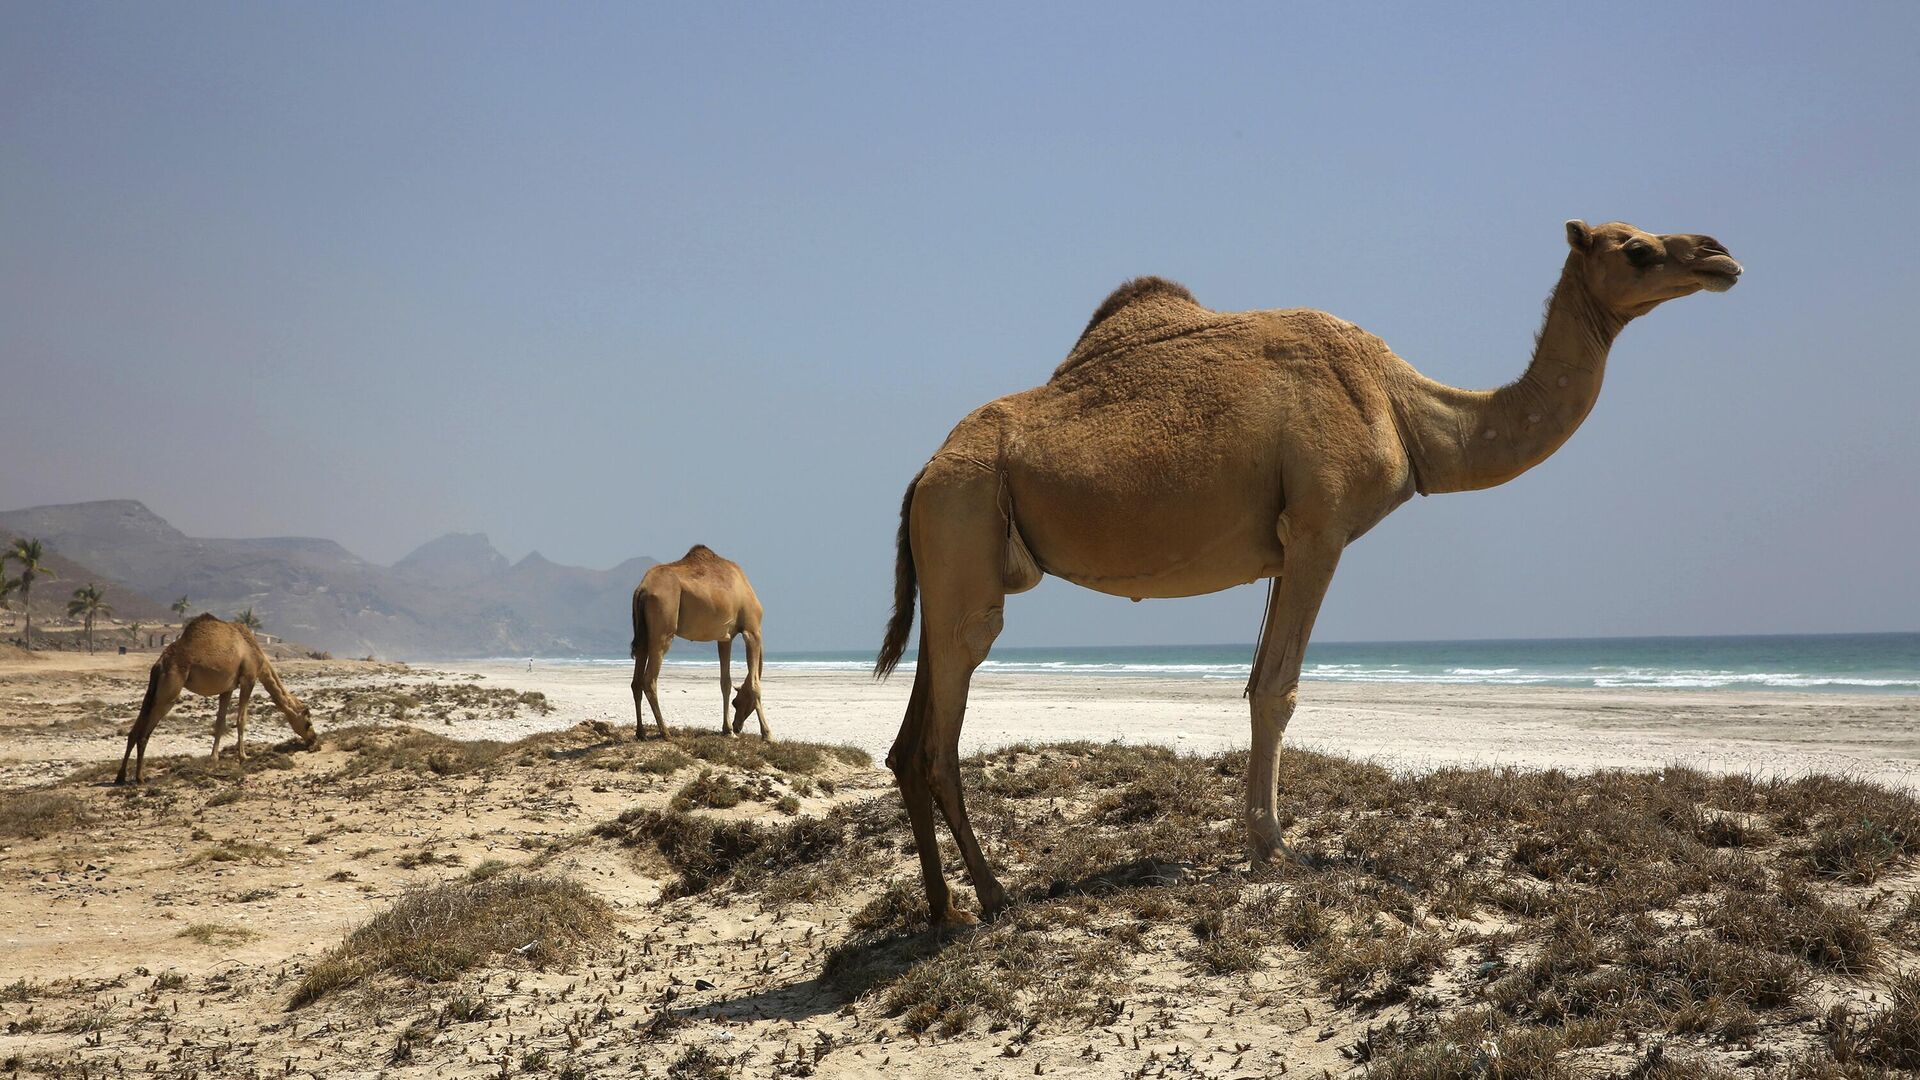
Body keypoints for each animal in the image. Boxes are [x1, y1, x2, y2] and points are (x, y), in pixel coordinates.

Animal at [115, 614, 316, 780]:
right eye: (308, 722)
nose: (314, 740)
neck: (258, 656)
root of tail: (160, 663)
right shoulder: (248, 679)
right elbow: (241, 719)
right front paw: (243, 756)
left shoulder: (227, 688)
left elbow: (220, 722)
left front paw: (214, 758)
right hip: (170, 690)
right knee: (144, 732)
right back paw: (139, 778)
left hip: (153, 690)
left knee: (134, 729)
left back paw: (121, 777)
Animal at [637, 545, 771, 737]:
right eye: (736, 703)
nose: (738, 725)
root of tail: (642, 589)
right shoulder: (752, 631)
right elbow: (754, 685)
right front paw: (767, 734)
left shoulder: (725, 638)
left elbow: (725, 682)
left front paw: (727, 730)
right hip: (662, 628)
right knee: (649, 679)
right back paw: (665, 732)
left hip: (643, 633)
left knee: (636, 680)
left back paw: (641, 733)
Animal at [879, 220, 1751, 926]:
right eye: (1636, 249)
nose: (1720, 256)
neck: (1405, 409)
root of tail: (920, 473)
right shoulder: (1319, 528)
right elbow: (1278, 689)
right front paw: (1273, 848)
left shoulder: (1287, 548)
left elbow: (1259, 682)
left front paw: (1263, 839)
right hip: (966, 524)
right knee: (942, 732)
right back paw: (994, 898)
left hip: (948, 557)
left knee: (909, 739)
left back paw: (945, 907)